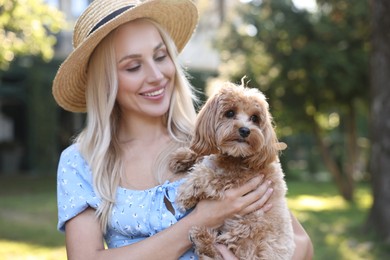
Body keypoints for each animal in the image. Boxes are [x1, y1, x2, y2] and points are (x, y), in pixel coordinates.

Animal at [171, 82, 296, 260]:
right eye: (230, 113)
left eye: (254, 118)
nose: (245, 130)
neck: (237, 157)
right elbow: (203, 155)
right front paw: (181, 157)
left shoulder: (238, 179)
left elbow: (206, 175)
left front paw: (186, 195)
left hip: (250, 228)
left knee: (223, 251)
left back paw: (201, 237)